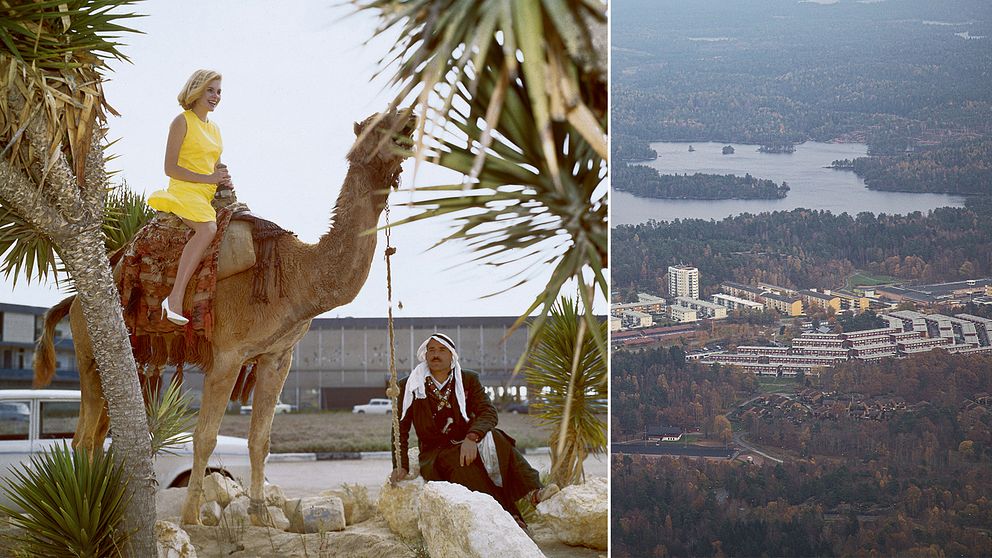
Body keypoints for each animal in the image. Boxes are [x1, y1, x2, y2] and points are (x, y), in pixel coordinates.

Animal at [34, 110, 414, 528]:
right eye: (380, 124)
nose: (411, 118)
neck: (295, 275)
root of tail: (73, 303)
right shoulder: (228, 355)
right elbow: (205, 436)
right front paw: (192, 517)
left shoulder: (277, 357)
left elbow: (260, 440)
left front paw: (261, 516)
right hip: (90, 352)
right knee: (84, 436)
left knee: (100, 432)